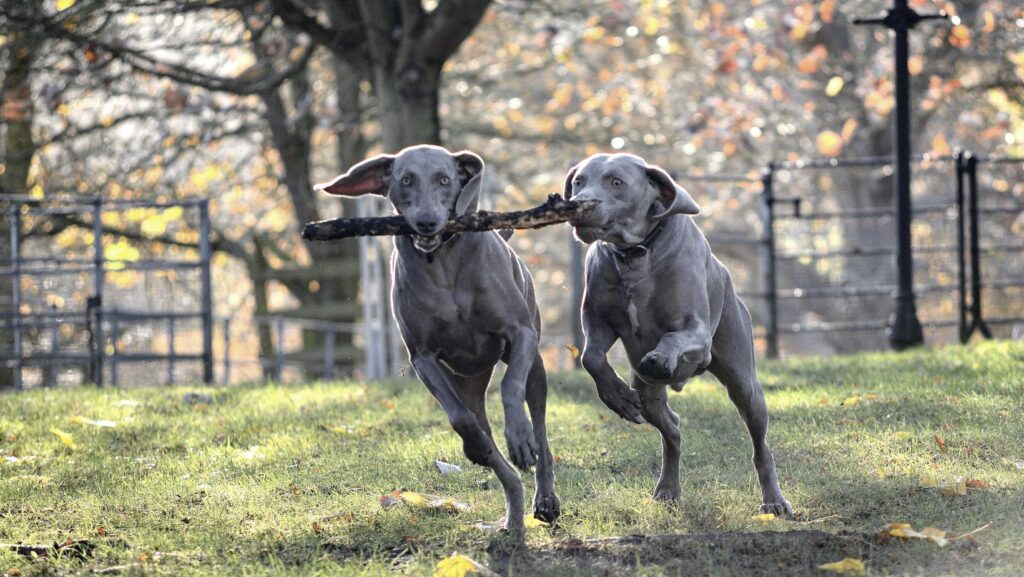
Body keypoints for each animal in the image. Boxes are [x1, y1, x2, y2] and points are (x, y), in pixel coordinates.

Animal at [317, 144, 561, 532]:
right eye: (406, 180)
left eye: (445, 180)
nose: (428, 221)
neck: (443, 262)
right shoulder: (423, 357)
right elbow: (460, 419)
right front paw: (477, 445)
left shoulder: (520, 333)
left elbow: (511, 387)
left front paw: (519, 436)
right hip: (468, 383)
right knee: (487, 440)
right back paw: (510, 512)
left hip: (534, 363)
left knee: (540, 426)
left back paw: (544, 497)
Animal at [569, 151, 790, 516]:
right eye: (578, 181)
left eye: (616, 182)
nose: (578, 205)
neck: (635, 255)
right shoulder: (597, 319)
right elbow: (591, 356)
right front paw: (616, 395)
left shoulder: (696, 330)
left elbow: (674, 337)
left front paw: (659, 358)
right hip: (649, 399)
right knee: (671, 427)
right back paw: (667, 488)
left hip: (744, 382)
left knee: (760, 444)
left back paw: (774, 500)